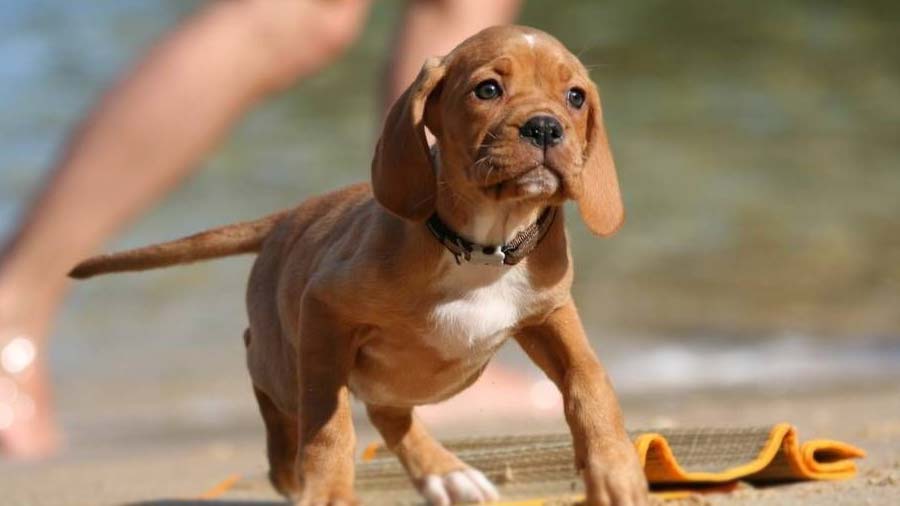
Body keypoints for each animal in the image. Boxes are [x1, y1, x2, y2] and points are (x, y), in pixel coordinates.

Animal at [70, 26, 648, 506]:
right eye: (487, 90)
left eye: (575, 97)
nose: (546, 128)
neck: (484, 245)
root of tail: (288, 218)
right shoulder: (325, 313)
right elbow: (328, 422)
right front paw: (326, 487)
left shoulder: (551, 313)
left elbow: (591, 382)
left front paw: (615, 470)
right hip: (283, 358)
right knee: (272, 379)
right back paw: (290, 468)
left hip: (392, 379)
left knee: (387, 411)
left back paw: (445, 472)